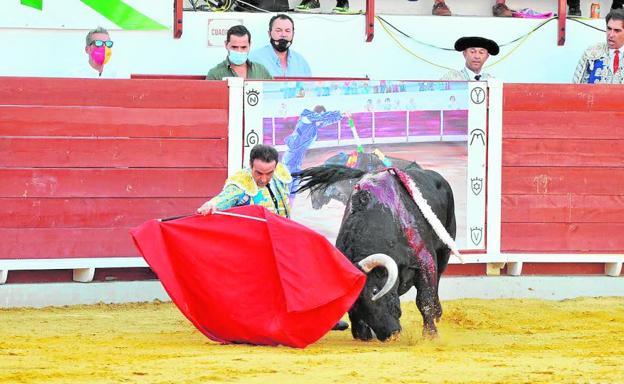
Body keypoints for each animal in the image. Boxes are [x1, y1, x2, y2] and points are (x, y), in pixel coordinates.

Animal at [294, 164, 456, 340]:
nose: (390, 333)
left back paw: (438, 313)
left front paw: (430, 335)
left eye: (375, 291)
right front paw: (363, 334)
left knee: (438, 278)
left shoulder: (425, 262)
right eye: (350, 304)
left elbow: (424, 300)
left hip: (445, 248)